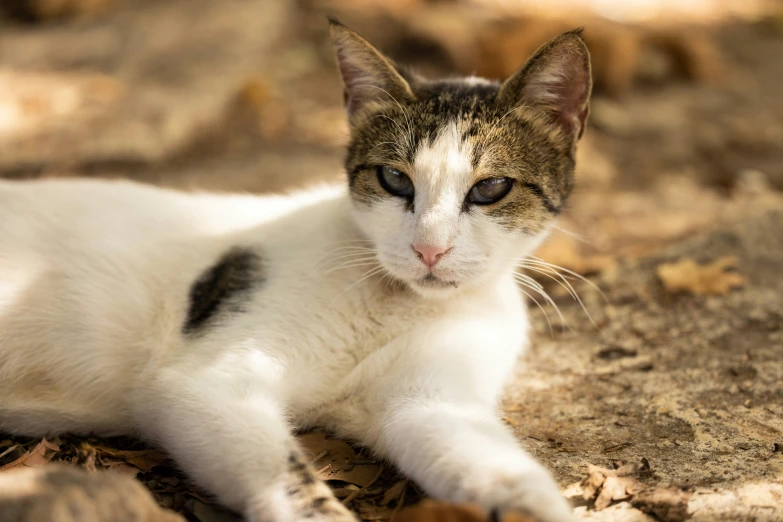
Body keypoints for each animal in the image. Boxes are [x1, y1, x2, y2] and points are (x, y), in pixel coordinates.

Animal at [0, 18, 588, 520]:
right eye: (395, 179)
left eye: (491, 188)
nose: (429, 250)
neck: (399, 303)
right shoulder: (212, 381)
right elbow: (289, 482)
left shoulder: (430, 402)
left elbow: (495, 463)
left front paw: (535, 505)